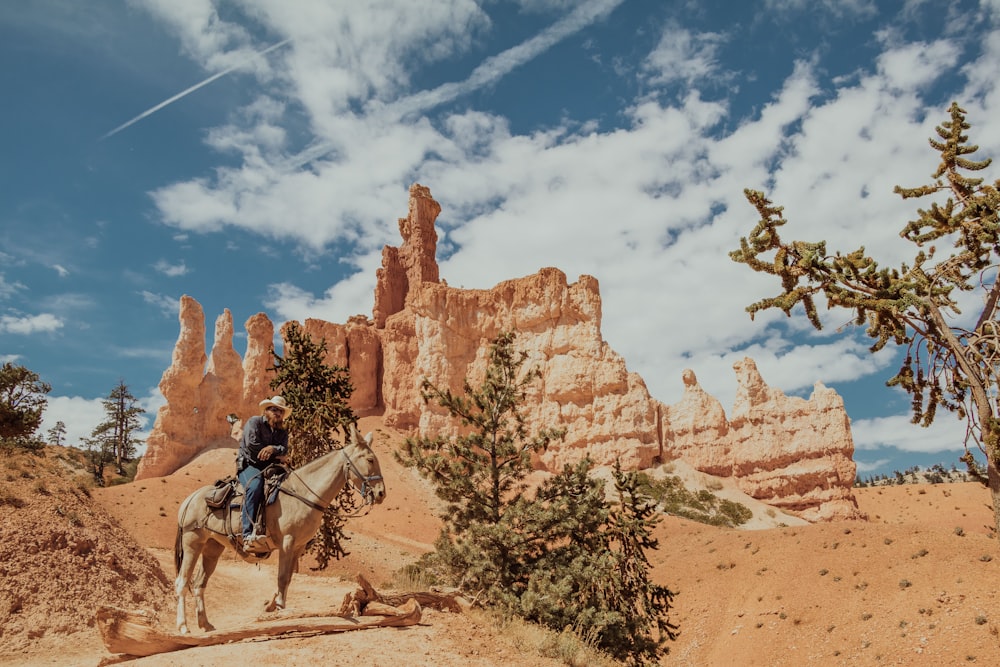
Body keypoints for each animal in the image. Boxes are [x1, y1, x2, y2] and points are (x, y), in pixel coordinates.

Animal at [174, 426, 384, 636]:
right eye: (370, 460)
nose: (381, 493)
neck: (302, 494)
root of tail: (190, 499)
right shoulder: (287, 542)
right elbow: (282, 578)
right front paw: (280, 609)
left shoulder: (298, 546)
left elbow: (289, 578)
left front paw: (278, 607)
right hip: (192, 542)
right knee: (182, 582)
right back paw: (183, 626)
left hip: (212, 547)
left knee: (199, 584)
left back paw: (205, 624)